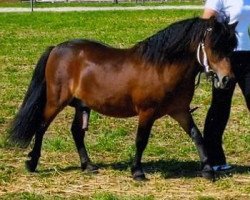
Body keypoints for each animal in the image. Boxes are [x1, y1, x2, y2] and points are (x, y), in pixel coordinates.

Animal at [8, 16, 237, 180]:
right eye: (214, 46)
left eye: (231, 47)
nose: (227, 79)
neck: (162, 67)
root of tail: (56, 48)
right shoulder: (147, 112)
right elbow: (141, 140)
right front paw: (137, 172)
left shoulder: (179, 110)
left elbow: (197, 136)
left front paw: (208, 170)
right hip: (56, 101)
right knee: (41, 126)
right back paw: (32, 163)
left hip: (81, 105)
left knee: (76, 133)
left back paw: (88, 165)